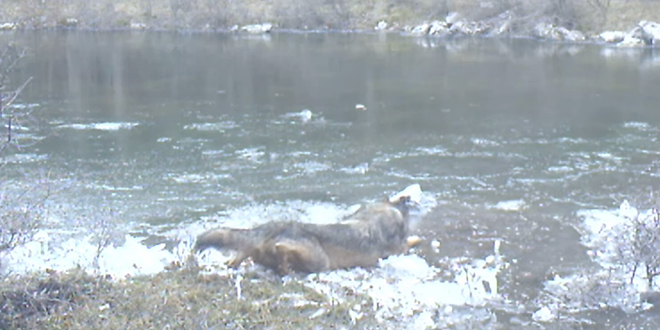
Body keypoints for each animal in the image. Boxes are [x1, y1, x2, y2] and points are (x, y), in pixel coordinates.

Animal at [195, 187, 422, 274]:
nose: (407, 199)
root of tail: (275, 226)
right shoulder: (397, 247)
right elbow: (411, 241)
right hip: (319, 260)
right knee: (282, 250)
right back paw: (284, 266)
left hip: (252, 247)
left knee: (242, 253)